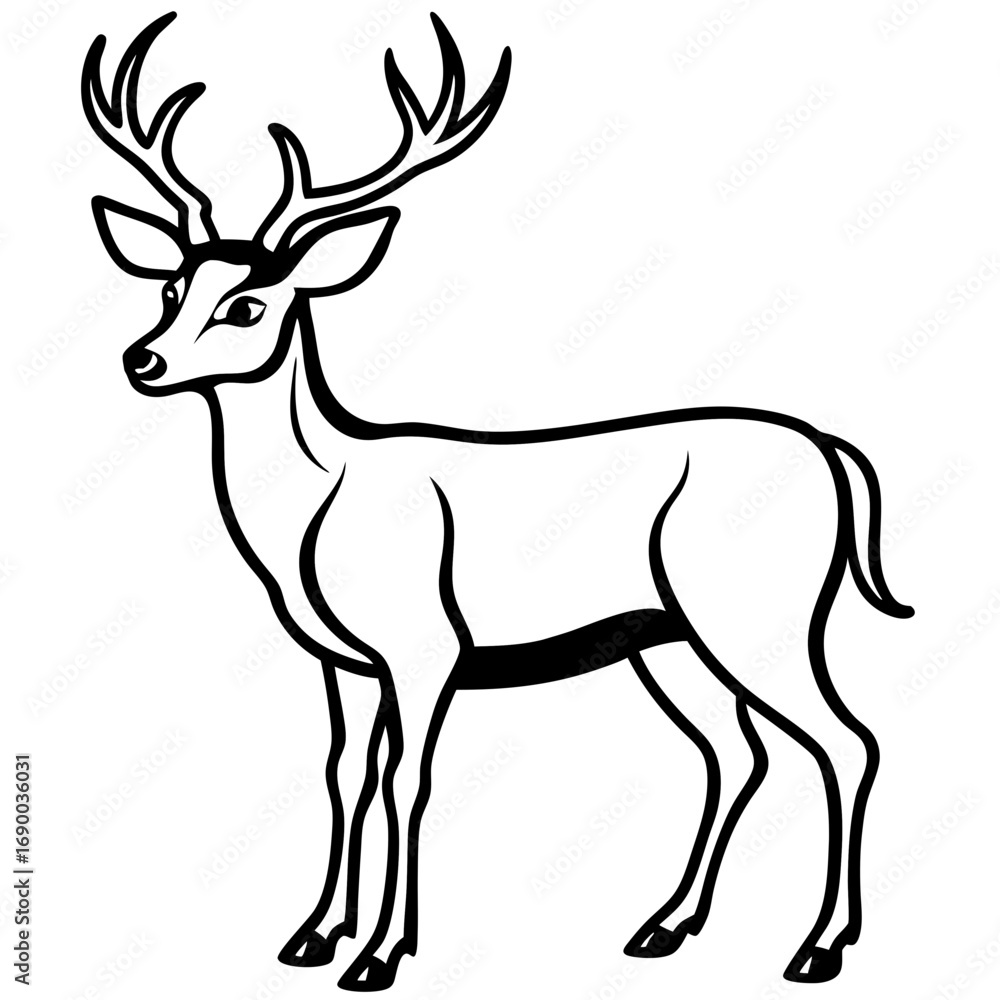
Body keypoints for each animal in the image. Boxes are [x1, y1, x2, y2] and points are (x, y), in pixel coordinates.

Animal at [83, 12, 912, 991]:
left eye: (248, 304)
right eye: (172, 286)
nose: (141, 359)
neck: (319, 511)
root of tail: (833, 452)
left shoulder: (424, 643)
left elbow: (407, 782)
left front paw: (380, 954)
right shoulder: (341, 658)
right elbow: (343, 776)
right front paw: (313, 936)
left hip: (759, 608)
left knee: (846, 741)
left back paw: (818, 947)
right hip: (666, 635)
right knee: (735, 751)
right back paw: (665, 926)